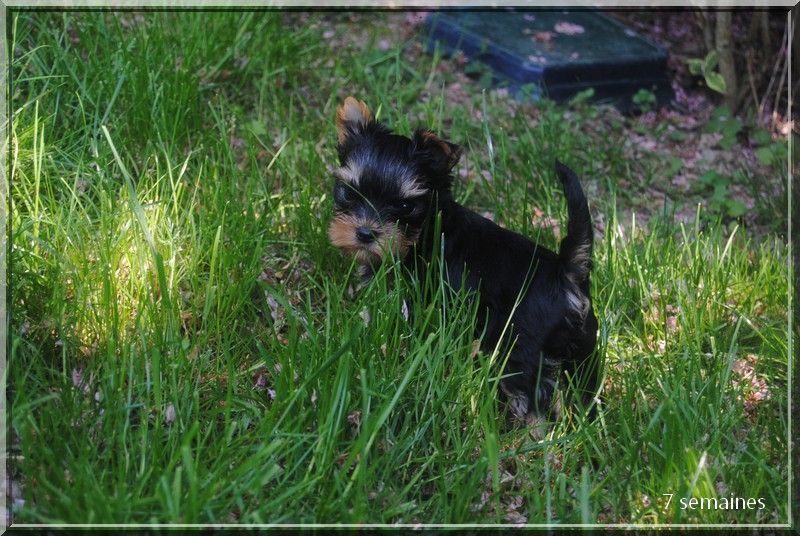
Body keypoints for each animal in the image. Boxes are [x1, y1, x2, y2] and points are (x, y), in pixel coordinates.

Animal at [328, 95, 596, 422]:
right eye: (348, 192)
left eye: (405, 206)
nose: (365, 233)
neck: (423, 233)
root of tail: (566, 271)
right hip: (584, 352)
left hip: (520, 347)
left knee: (532, 397)